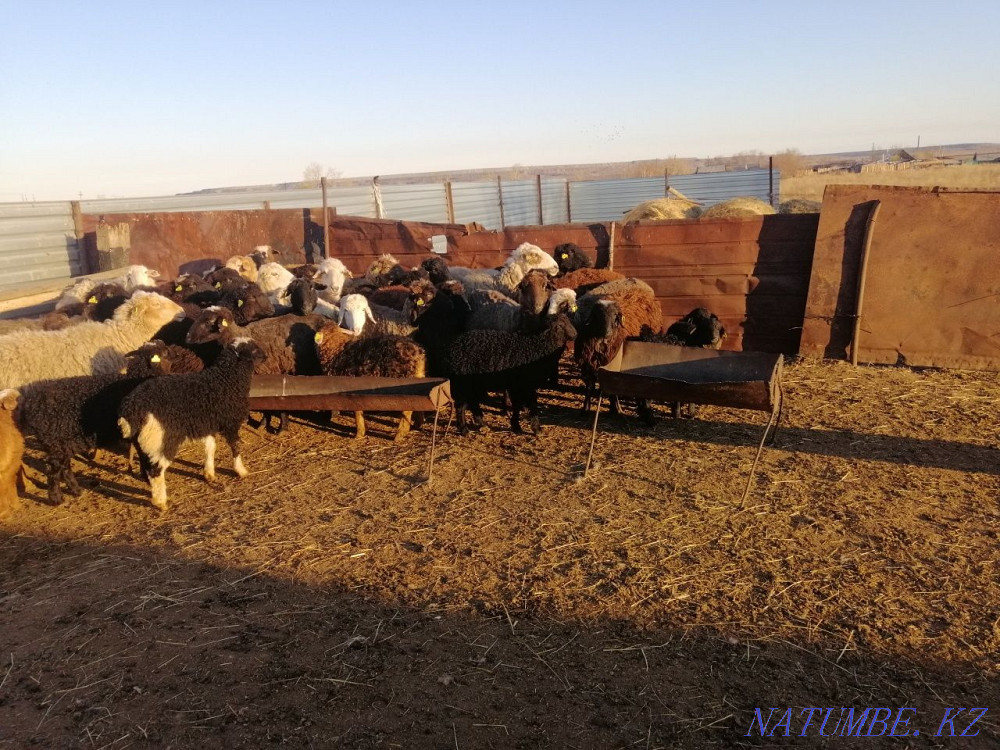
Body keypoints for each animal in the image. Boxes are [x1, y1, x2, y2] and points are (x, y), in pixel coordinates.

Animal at [118, 338, 266, 510]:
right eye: (253, 350)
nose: (266, 356)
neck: (225, 379)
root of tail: (132, 410)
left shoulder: (208, 423)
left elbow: (210, 447)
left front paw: (209, 473)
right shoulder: (230, 422)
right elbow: (236, 447)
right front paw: (241, 471)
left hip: (142, 442)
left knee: (147, 466)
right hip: (164, 439)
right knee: (156, 470)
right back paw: (161, 502)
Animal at [442, 312, 577, 435]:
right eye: (559, 325)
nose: (575, 334)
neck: (537, 345)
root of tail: (452, 348)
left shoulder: (518, 386)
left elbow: (517, 406)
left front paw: (516, 426)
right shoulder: (525, 385)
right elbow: (531, 405)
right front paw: (536, 429)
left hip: (474, 384)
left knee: (472, 402)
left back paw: (481, 423)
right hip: (464, 383)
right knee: (461, 406)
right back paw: (464, 429)